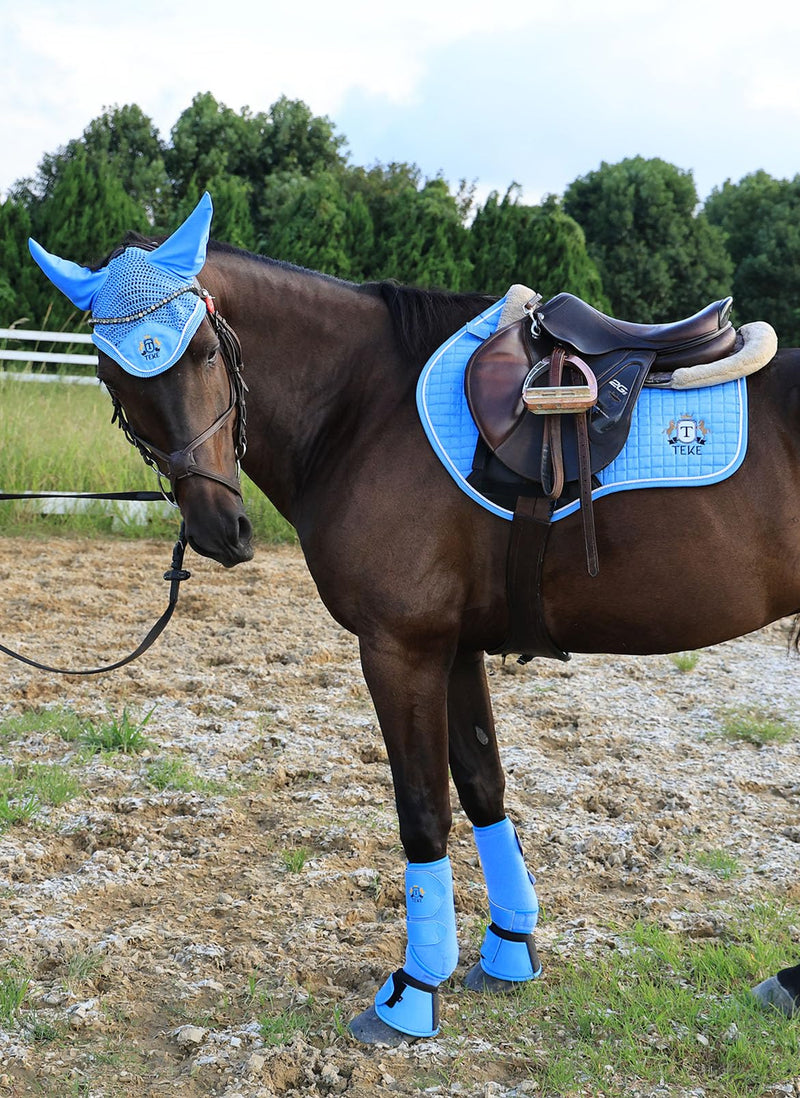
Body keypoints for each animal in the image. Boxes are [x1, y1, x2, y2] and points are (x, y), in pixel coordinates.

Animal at [29, 193, 800, 1042]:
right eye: (111, 374)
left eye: (202, 351)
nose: (219, 530)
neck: (366, 408)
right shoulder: (455, 647)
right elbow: (484, 788)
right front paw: (507, 951)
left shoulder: (401, 648)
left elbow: (424, 811)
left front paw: (413, 989)